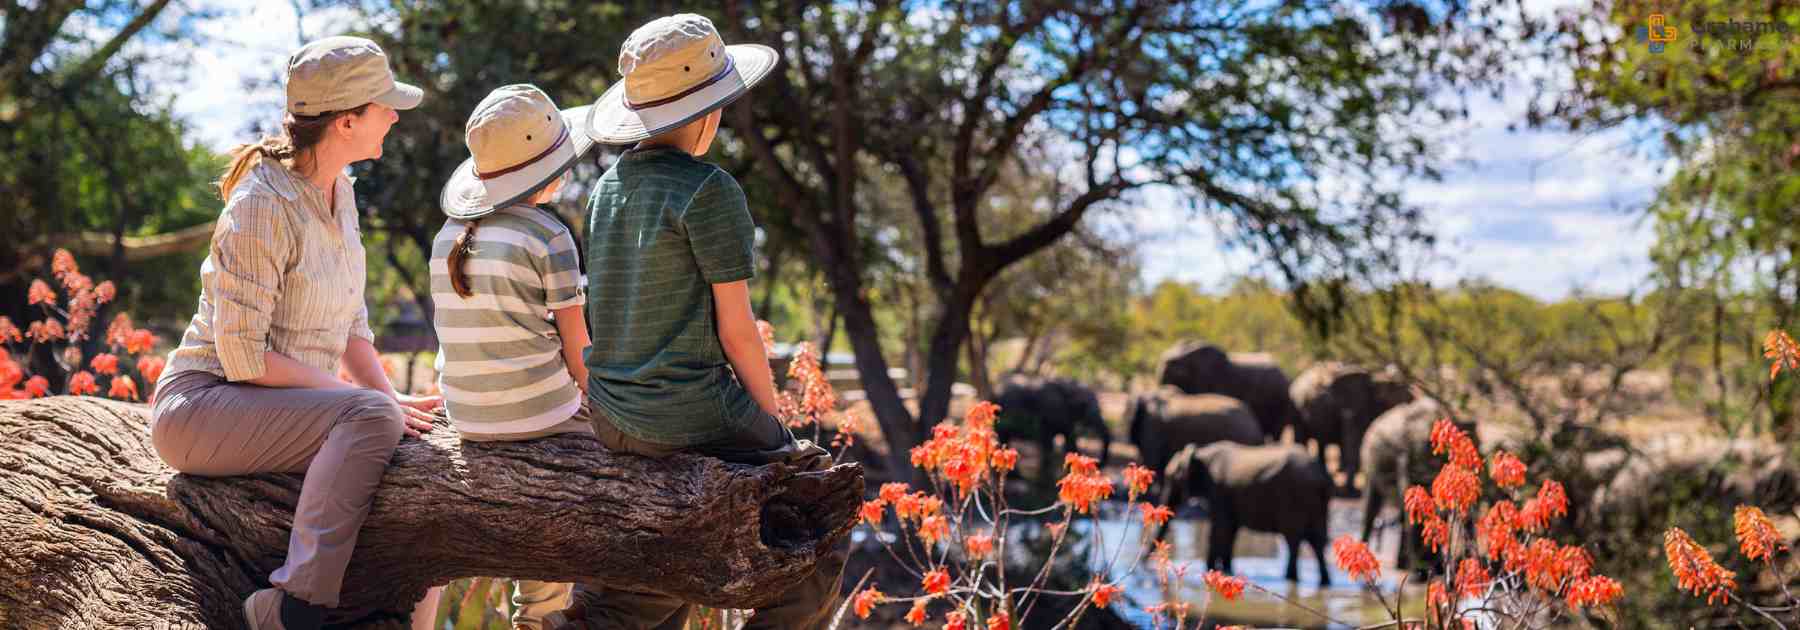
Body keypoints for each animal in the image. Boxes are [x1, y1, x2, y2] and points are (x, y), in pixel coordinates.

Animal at [1152, 441, 1339, 583]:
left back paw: (1290, 578)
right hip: (1317, 503)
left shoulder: (1218, 490)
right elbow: (1230, 532)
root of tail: (1323, 476)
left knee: (1294, 539)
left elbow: (1219, 530)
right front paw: (1227, 571)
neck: (1201, 452)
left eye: (1171, 478)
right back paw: (1324, 582)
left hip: (1295, 497)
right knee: (1317, 541)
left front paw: (1210, 571)